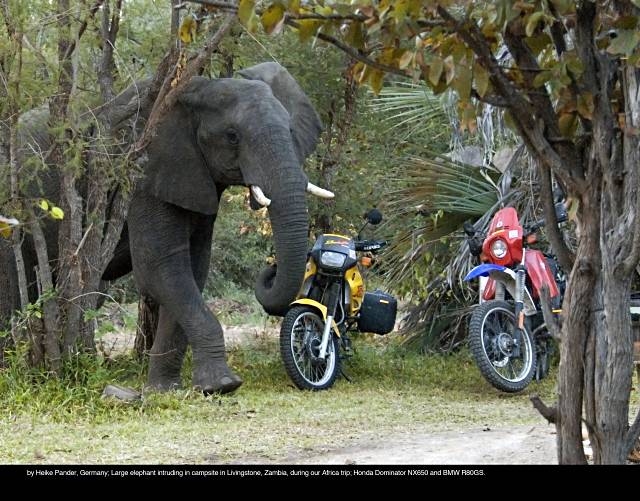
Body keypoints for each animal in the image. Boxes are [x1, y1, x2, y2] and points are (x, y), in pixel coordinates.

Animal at [0, 61, 330, 390]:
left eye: (290, 130)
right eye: (232, 136)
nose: (270, 267)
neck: (199, 89)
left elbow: (192, 269)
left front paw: (165, 388)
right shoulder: (142, 173)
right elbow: (160, 266)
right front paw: (223, 385)